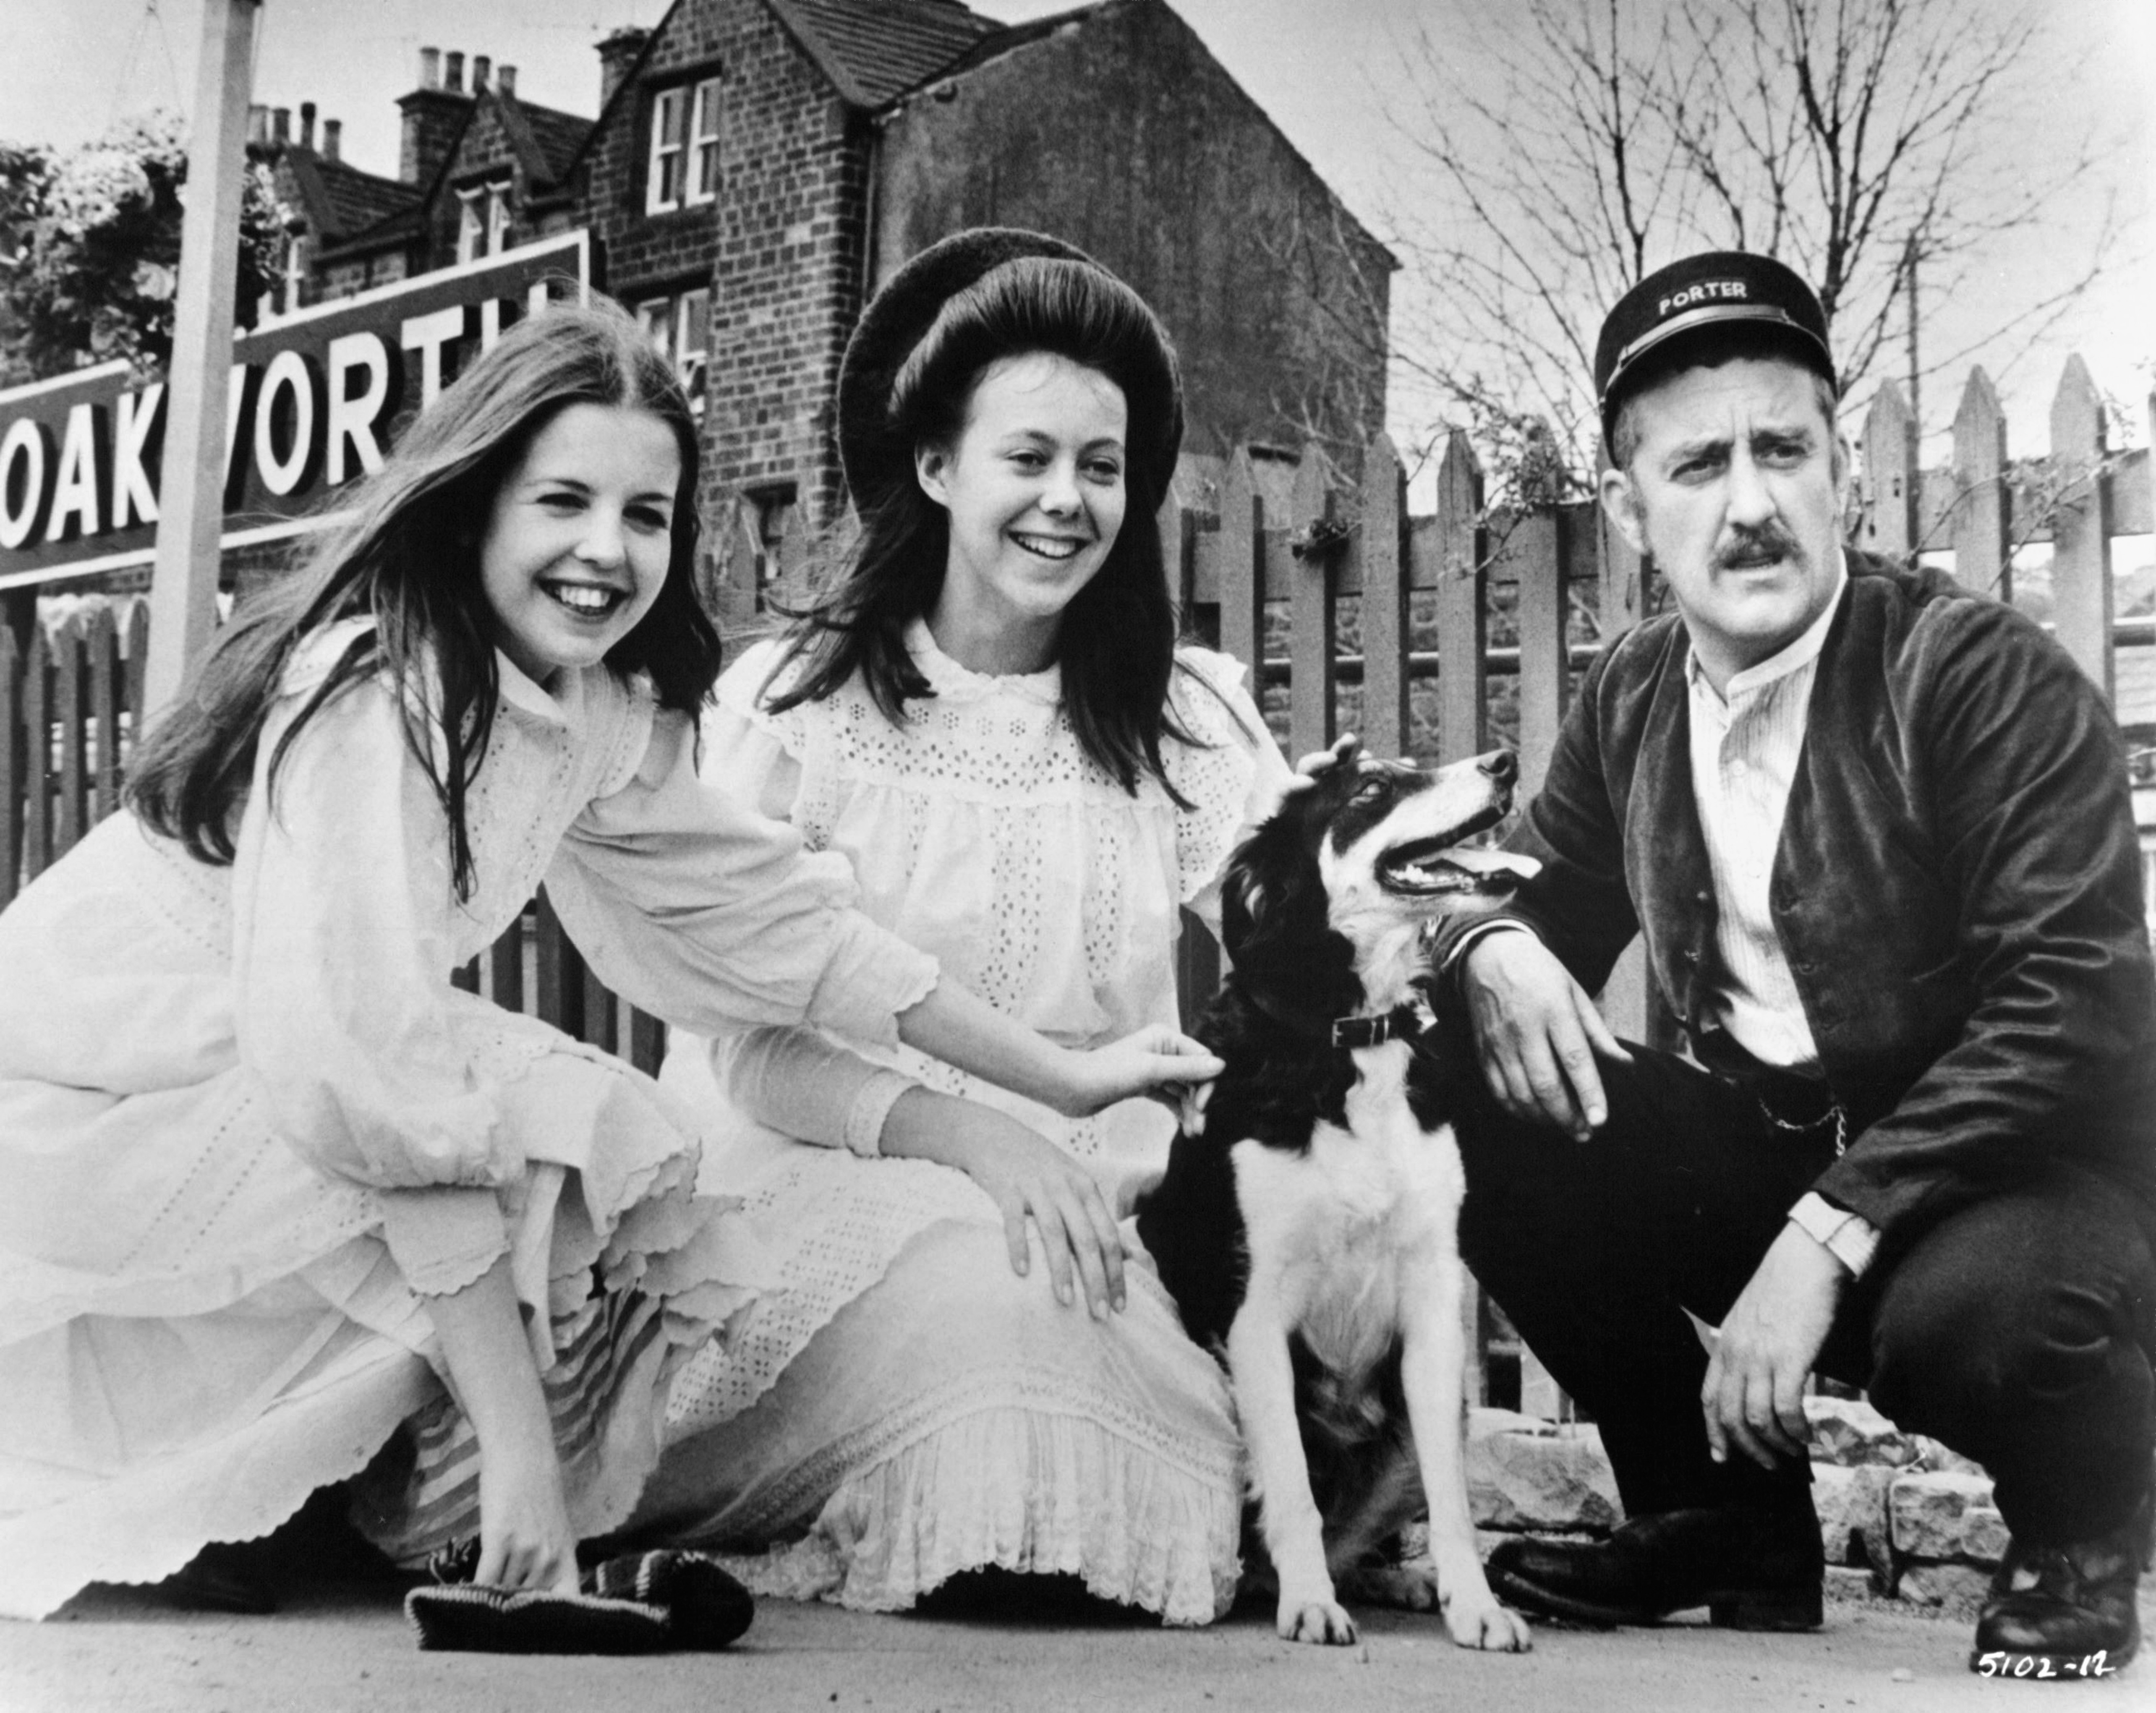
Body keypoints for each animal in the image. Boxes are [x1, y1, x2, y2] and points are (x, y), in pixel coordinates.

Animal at [1147, 745, 1535, 1646]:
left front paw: (1475, 1604)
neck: (1352, 1035)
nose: (1504, 760)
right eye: (1371, 789)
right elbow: (1289, 1484)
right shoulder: (1253, 1313)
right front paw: (1312, 1604)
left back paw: (1395, 1580)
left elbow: (1455, 1503)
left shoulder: (1433, 1307)